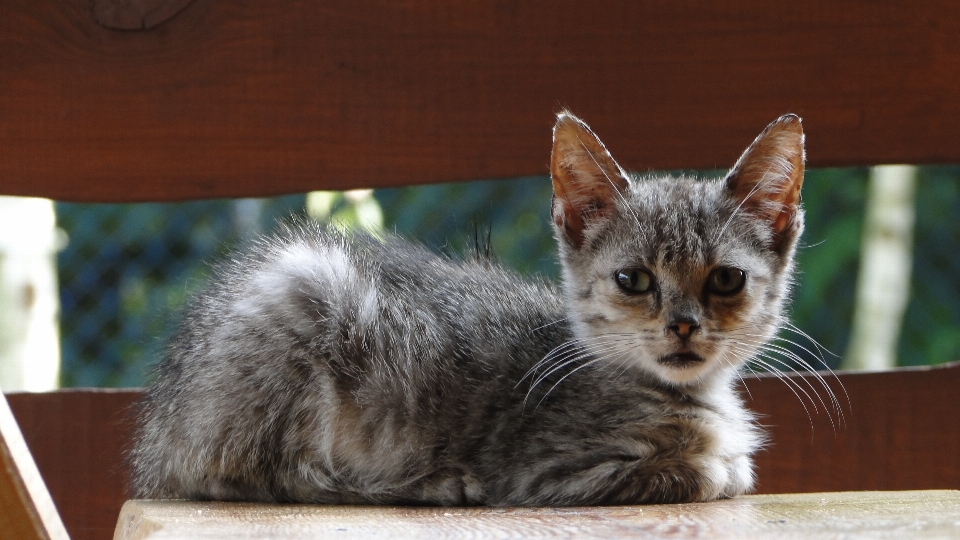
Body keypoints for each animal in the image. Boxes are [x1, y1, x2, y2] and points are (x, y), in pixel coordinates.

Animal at [129, 113, 804, 506]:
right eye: (633, 280)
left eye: (725, 279)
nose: (683, 325)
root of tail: (160, 434)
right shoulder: (549, 474)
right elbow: (715, 473)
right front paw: (719, 465)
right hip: (303, 291)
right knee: (249, 478)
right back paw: (428, 485)